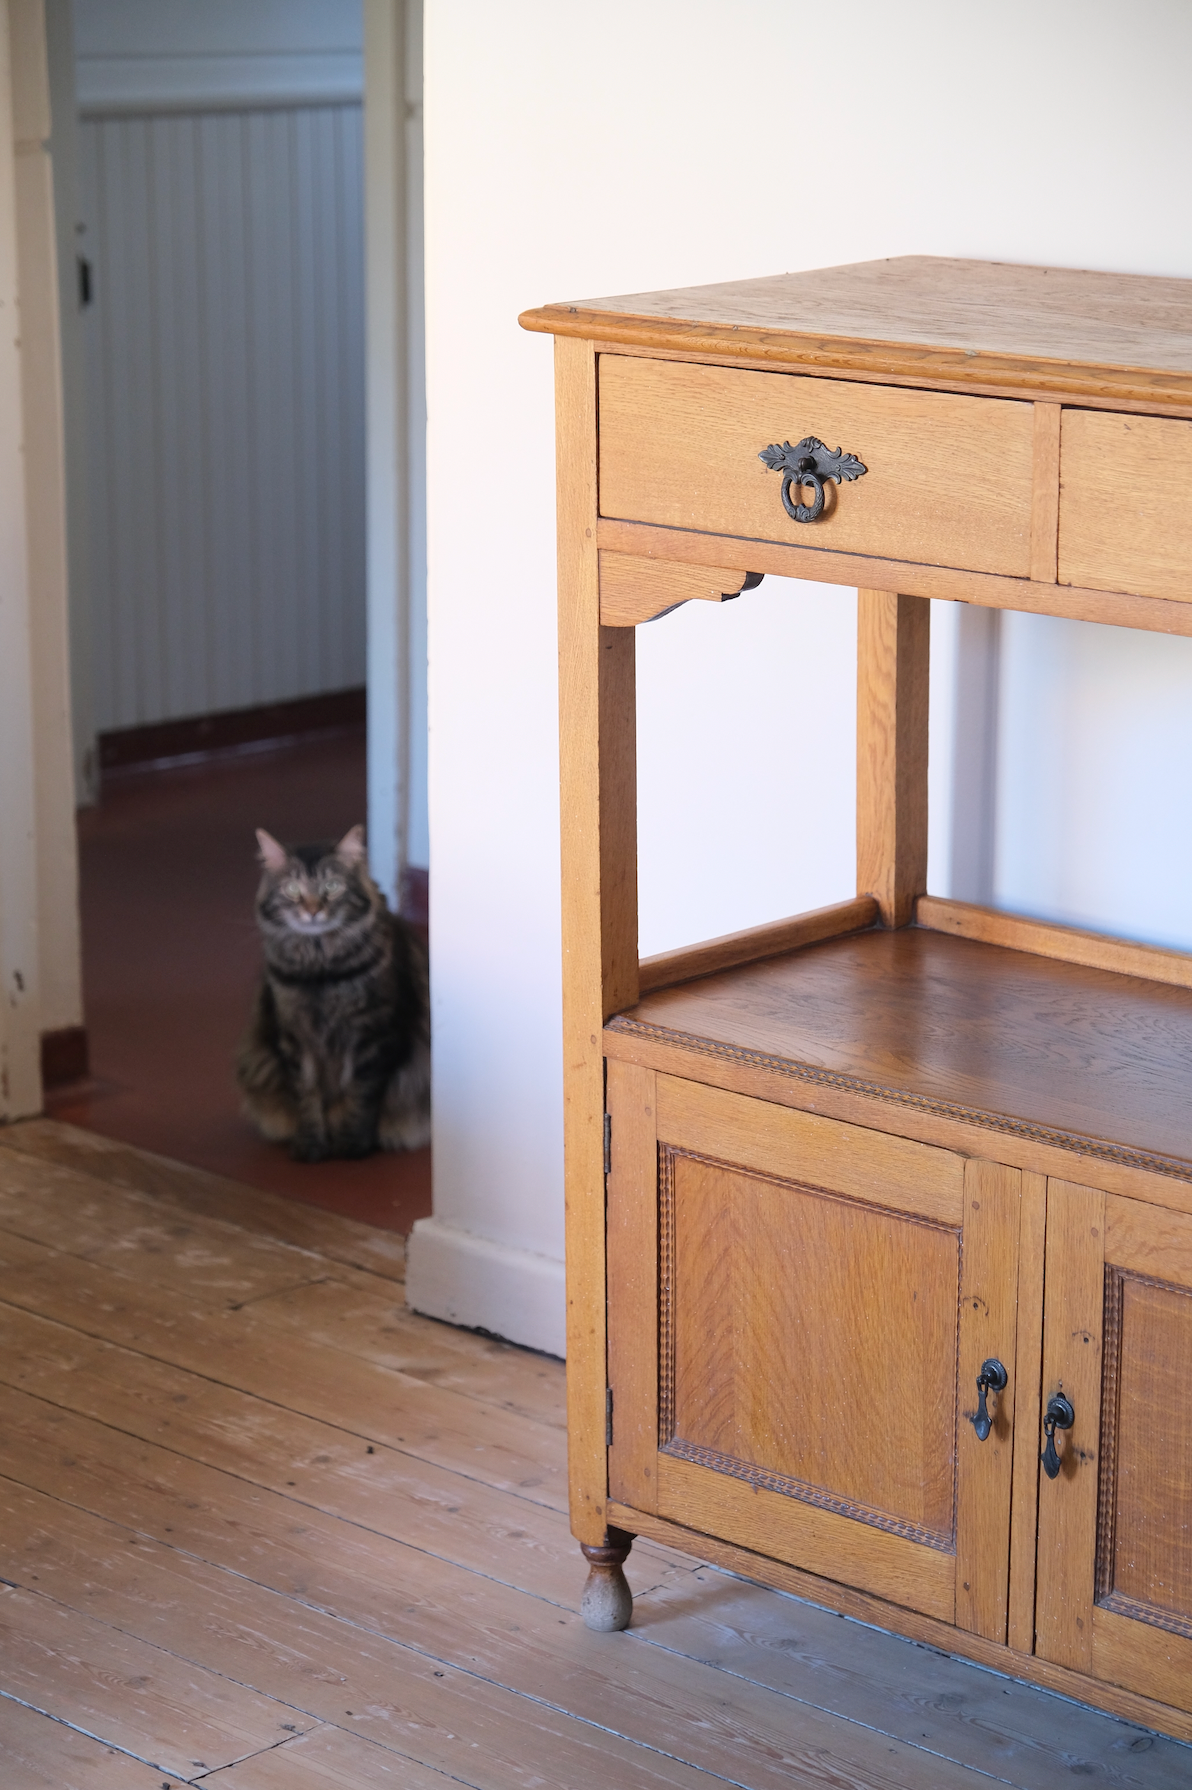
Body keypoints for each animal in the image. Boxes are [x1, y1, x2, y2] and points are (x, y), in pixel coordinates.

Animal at [236, 823, 427, 1159]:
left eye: (332, 886)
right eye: (293, 890)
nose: (313, 911)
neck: (320, 970)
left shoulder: (375, 1035)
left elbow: (361, 1094)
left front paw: (352, 1144)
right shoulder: (295, 1039)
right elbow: (306, 1095)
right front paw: (311, 1145)